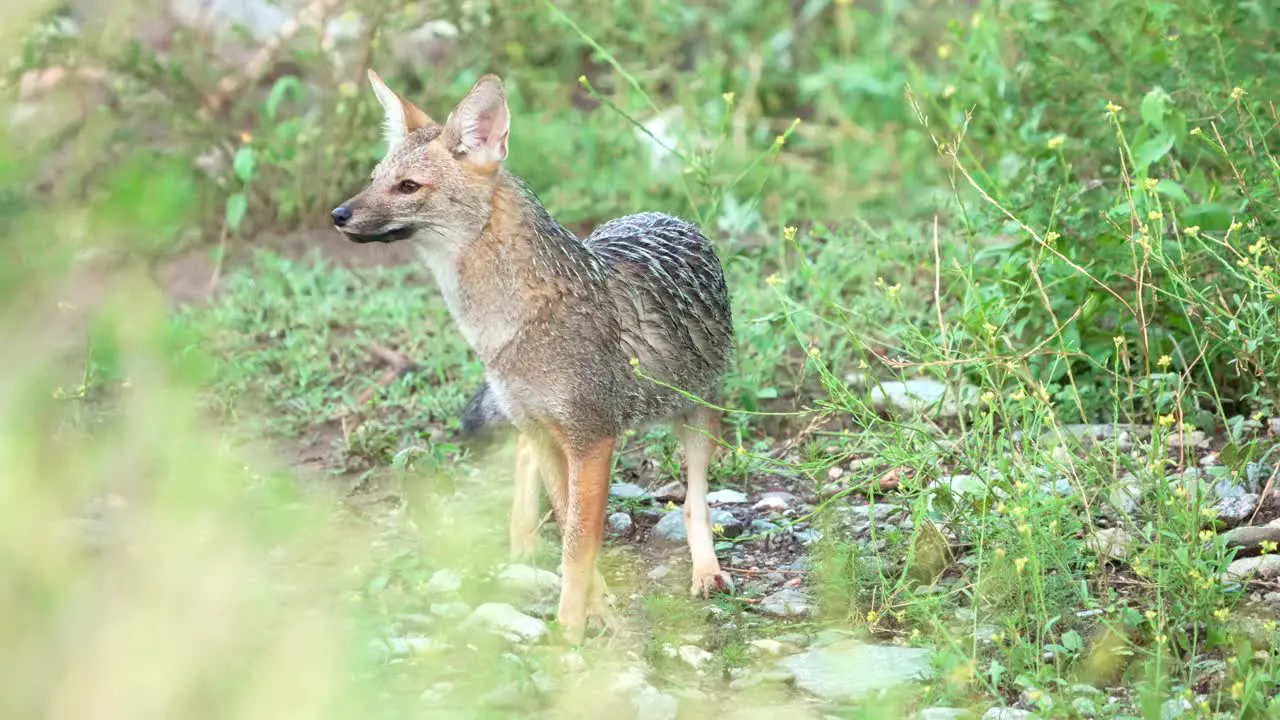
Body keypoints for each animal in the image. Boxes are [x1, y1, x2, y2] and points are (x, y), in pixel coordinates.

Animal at [335, 68, 737, 638]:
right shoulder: (550, 433)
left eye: (408, 186)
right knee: (525, 457)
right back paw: (522, 540)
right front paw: (595, 614)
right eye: (374, 178)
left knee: (694, 503)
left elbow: (578, 546)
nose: (338, 214)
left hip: (698, 415)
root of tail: (662, 215)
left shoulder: (591, 440)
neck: (506, 328)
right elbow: (574, 535)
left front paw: (568, 637)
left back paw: (706, 571)